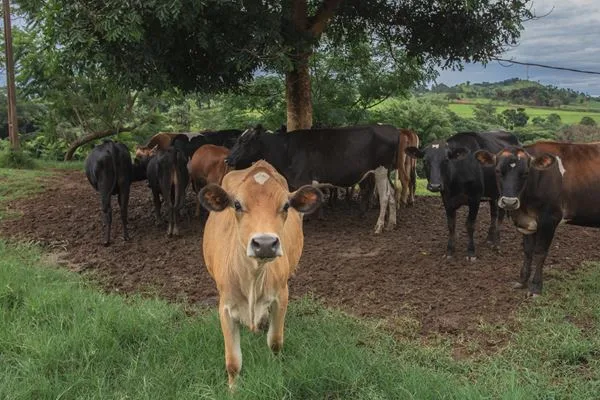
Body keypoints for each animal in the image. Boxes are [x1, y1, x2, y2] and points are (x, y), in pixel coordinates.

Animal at [200, 159, 324, 388]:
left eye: (286, 206)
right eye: (237, 205)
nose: (265, 243)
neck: (253, 276)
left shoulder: (281, 297)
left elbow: (275, 342)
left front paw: (275, 369)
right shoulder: (225, 307)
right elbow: (233, 361)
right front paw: (233, 389)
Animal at [225, 123, 398, 233]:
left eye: (244, 141)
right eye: (237, 140)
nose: (227, 159)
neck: (286, 149)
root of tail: (390, 128)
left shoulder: (302, 181)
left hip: (381, 170)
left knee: (384, 197)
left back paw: (379, 227)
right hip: (385, 172)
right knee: (392, 195)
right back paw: (391, 224)